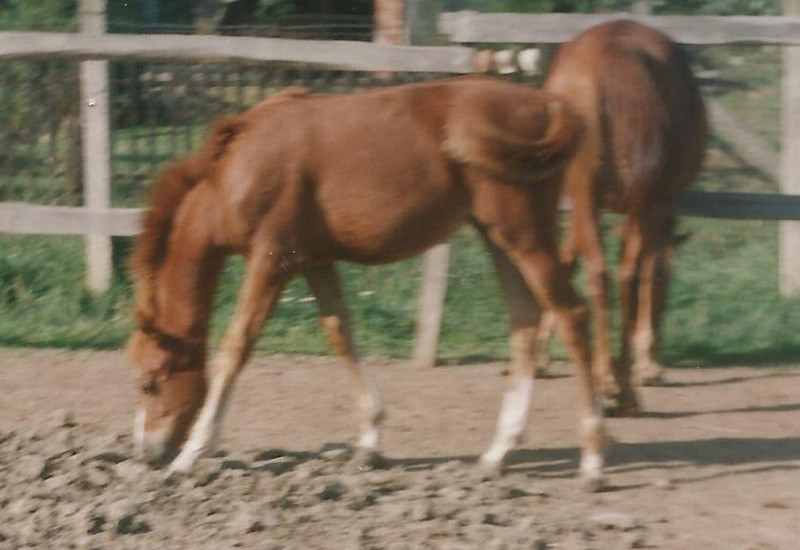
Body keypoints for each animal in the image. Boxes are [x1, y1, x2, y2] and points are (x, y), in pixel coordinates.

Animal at [128, 75, 608, 490]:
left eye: (150, 383)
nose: (148, 454)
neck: (236, 170)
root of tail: (551, 104)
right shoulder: (314, 261)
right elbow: (340, 331)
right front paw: (369, 442)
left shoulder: (271, 260)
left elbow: (235, 348)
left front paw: (191, 454)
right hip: (498, 237)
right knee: (525, 322)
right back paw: (498, 454)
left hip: (523, 235)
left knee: (571, 315)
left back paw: (592, 461)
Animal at [536, 21, 708, 416]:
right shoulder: (659, 208)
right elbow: (653, 273)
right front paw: (648, 365)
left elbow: (565, 262)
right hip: (642, 203)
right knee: (630, 274)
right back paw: (625, 390)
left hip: (584, 194)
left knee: (600, 274)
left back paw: (605, 384)